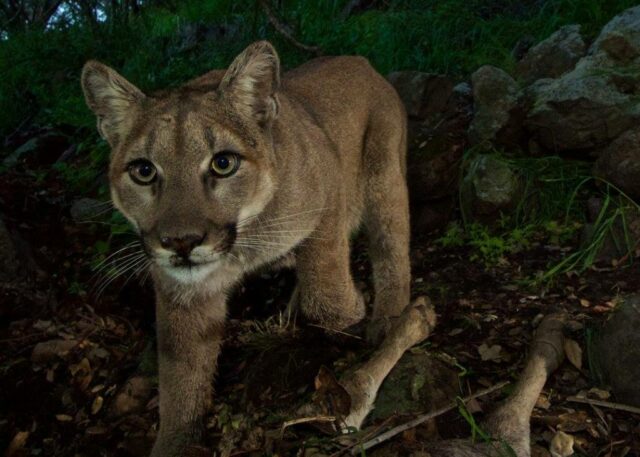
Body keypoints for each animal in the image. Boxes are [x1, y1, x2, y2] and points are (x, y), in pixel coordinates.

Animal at [82, 41, 410, 454]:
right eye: (144, 171)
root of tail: (358, 60)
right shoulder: (182, 292)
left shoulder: (328, 189)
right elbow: (180, 378)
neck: (242, 246)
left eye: (223, 163)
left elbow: (326, 292)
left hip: (384, 178)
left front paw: (349, 316)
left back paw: (387, 317)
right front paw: (177, 443)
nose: (181, 242)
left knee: (392, 248)